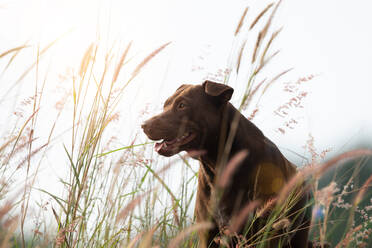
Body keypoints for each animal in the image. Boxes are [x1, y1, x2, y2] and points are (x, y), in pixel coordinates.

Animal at [142, 80, 314, 247]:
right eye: (166, 105)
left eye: (182, 105)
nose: (144, 125)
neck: (219, 166)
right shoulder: (207, 234)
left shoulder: (268, 233)